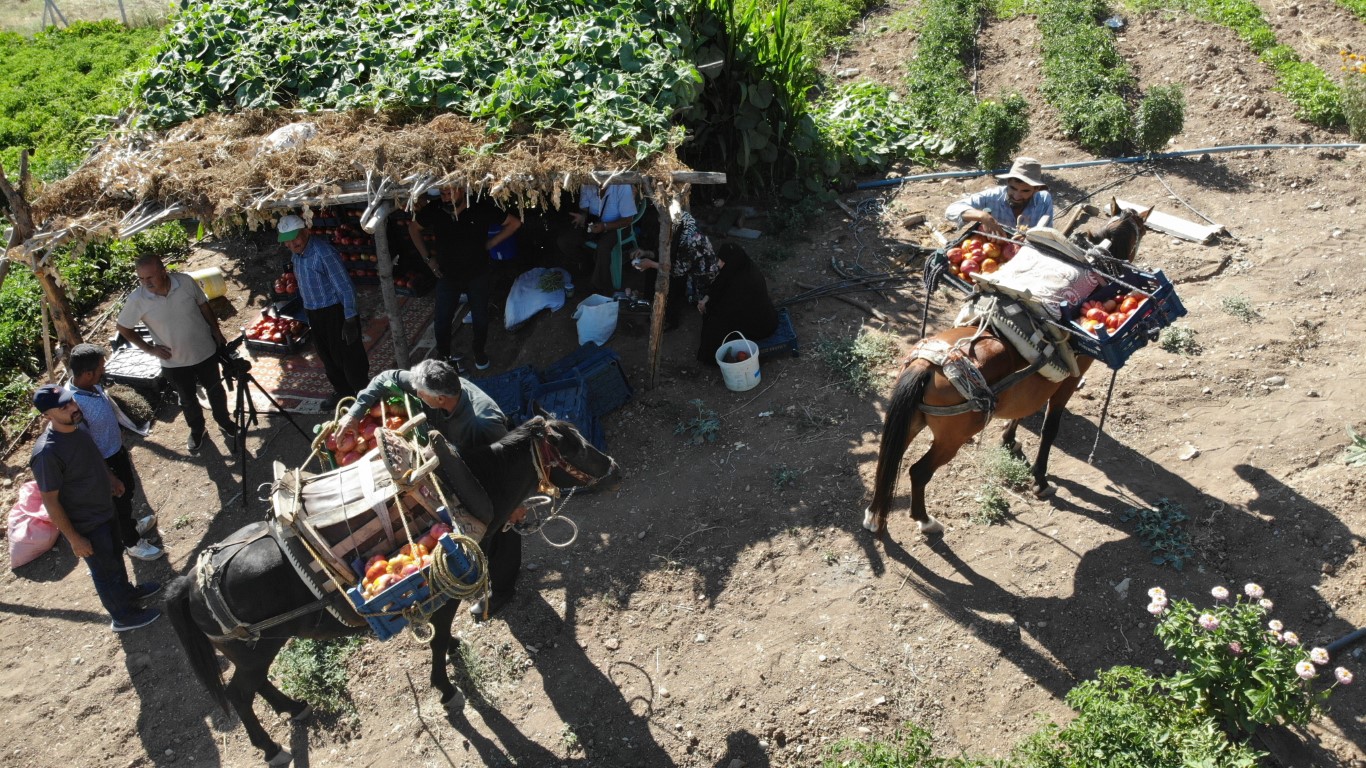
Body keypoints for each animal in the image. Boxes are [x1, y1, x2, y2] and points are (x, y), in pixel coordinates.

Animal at [863, 206, 1152, 535]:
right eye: (1140, 235)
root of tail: (928, 364)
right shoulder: (1068, 381)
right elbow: (1049, 429)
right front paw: (1040, 481)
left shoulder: (1033, 383)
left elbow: (1023, 410)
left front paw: (1009, 439)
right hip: (952, 438)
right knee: (918, 471)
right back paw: (925, 521)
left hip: (910, 420)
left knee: (889, 457)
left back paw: (874, 515)